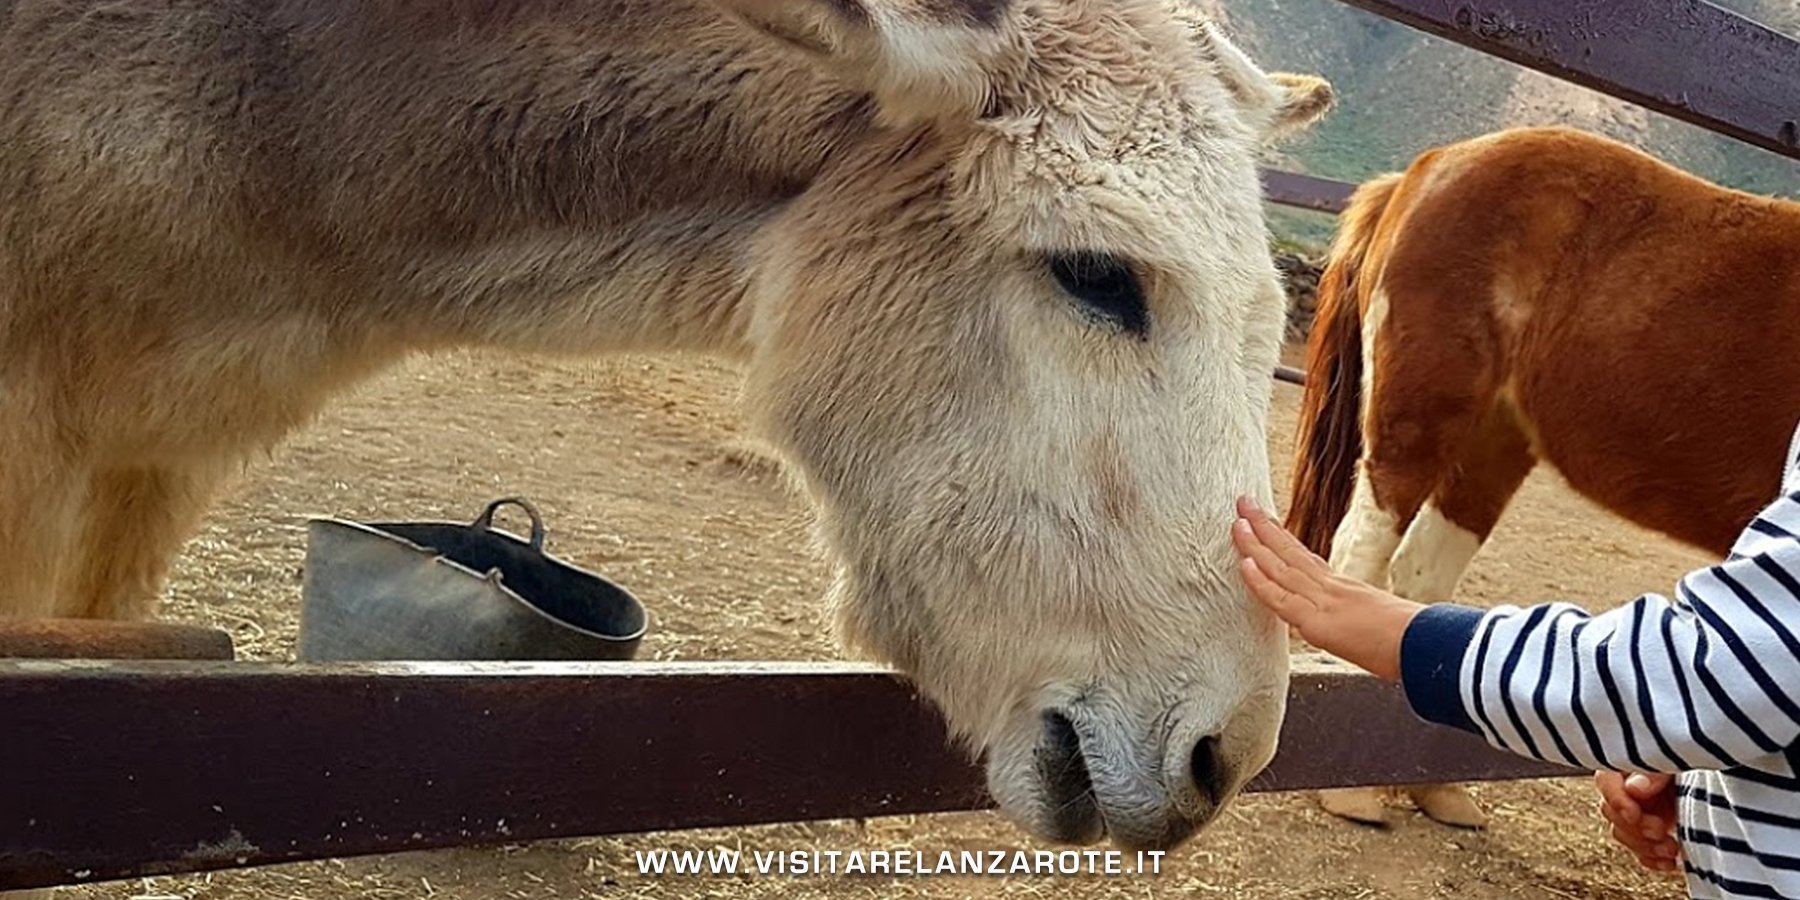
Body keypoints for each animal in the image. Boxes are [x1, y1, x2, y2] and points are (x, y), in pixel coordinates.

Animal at [1281, 126, 1800, 828]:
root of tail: (1425, 170)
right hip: (1416, 421)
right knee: (1360, 555)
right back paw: (1352, 792)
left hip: (1493, 442)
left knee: (1421, 581)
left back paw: (1435, 789)